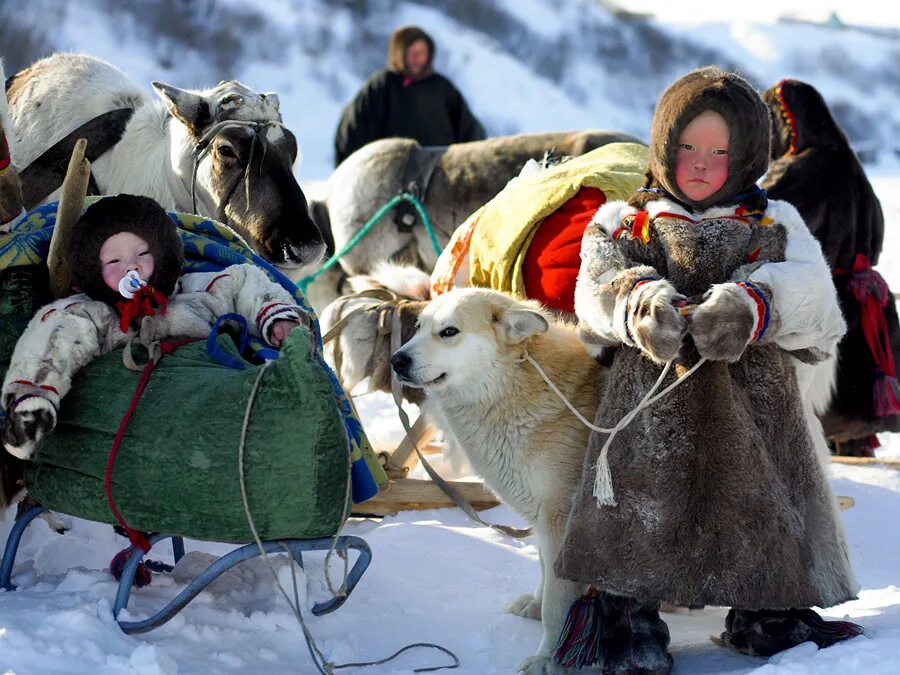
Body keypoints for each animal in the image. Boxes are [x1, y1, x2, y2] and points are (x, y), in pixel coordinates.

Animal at [392, 290, 608, 675]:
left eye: (449, 332)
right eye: (418, 328)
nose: (396, 360)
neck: (513, 386)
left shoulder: (560, 520)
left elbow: (557, 603)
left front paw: (548, 659)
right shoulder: (543, 521)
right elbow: (544, 573)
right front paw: (535, 607)